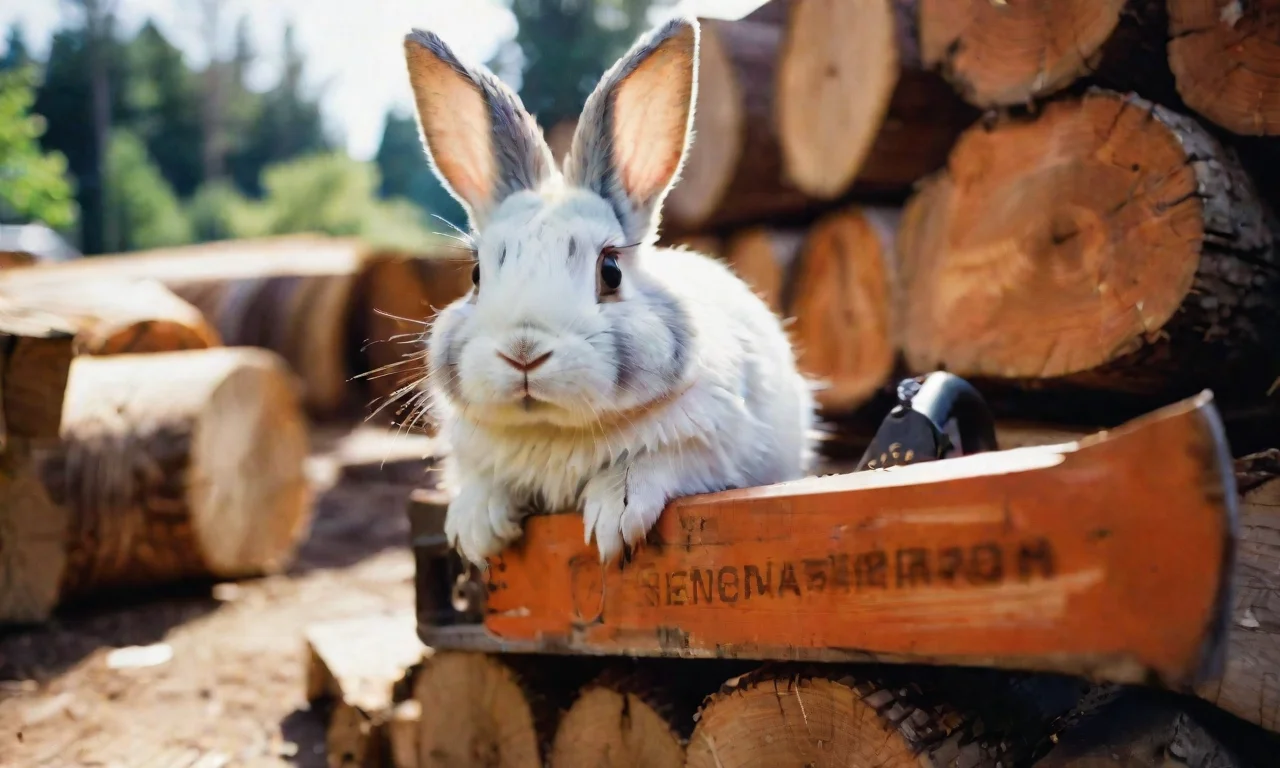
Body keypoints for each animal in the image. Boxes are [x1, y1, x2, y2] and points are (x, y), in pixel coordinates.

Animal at [403, 16, 818, 566]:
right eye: (475, 274)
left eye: (611, 271)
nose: (523, 352)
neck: (554, 431)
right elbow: (481, 480)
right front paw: (477, 529)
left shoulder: (714, 447)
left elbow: (656, 462)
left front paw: (615, 520)